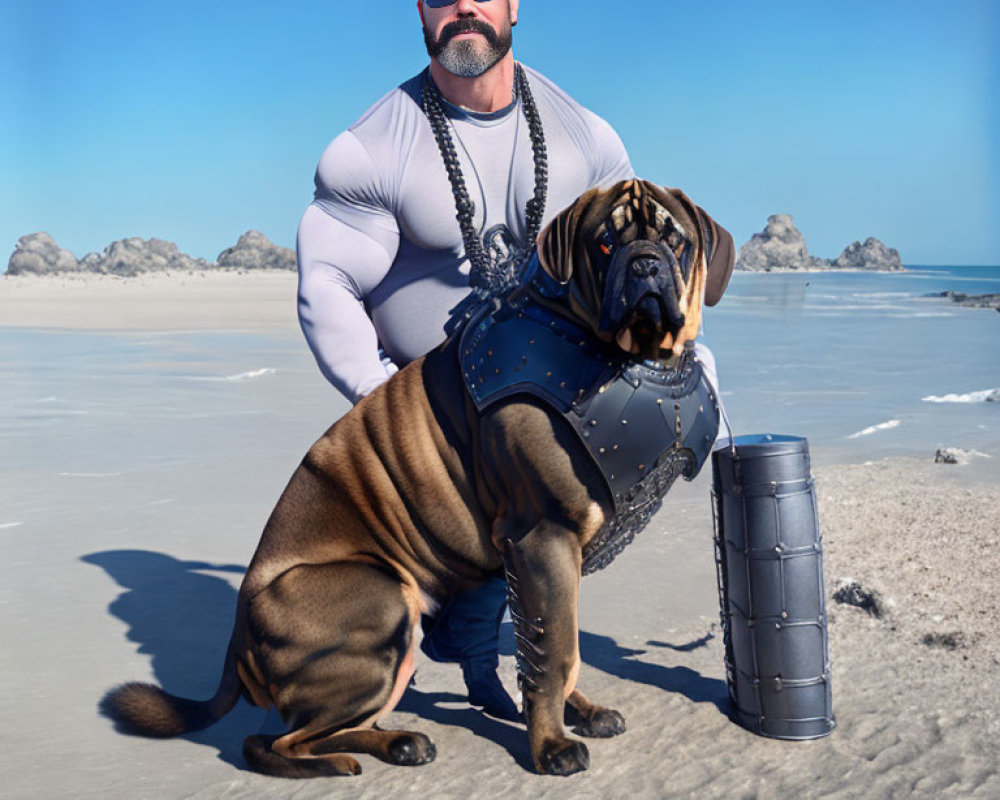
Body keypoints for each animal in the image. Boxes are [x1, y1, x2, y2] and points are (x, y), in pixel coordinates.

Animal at [103, 180, 736, 776]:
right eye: (605, 242)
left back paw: (399, 741)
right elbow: (554, 651)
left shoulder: (553, 559)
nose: (646, 264)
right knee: (273, 741)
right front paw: (551, 745)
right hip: (383, 597)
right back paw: (340, 761)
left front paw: (578, 713)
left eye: (676, 239)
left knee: (324, 726)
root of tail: (238, 635)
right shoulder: (541, 538)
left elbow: (555, 642)